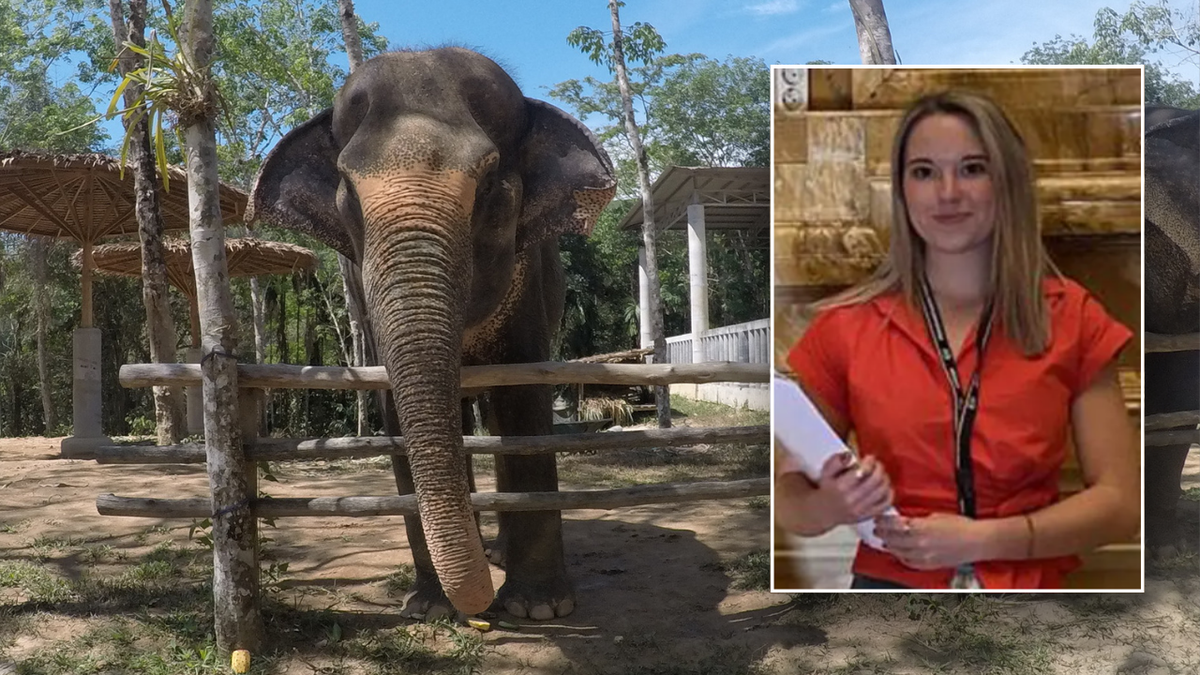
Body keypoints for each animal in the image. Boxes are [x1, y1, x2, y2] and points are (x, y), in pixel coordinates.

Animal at [247, 45, 614, 614]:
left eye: (489, 183)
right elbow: (394, 407)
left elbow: (523, 396)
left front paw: (538, 608)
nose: (480, 606)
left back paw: (500, 557)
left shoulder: (528, 285)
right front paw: (431, 607)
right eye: (348, 192)